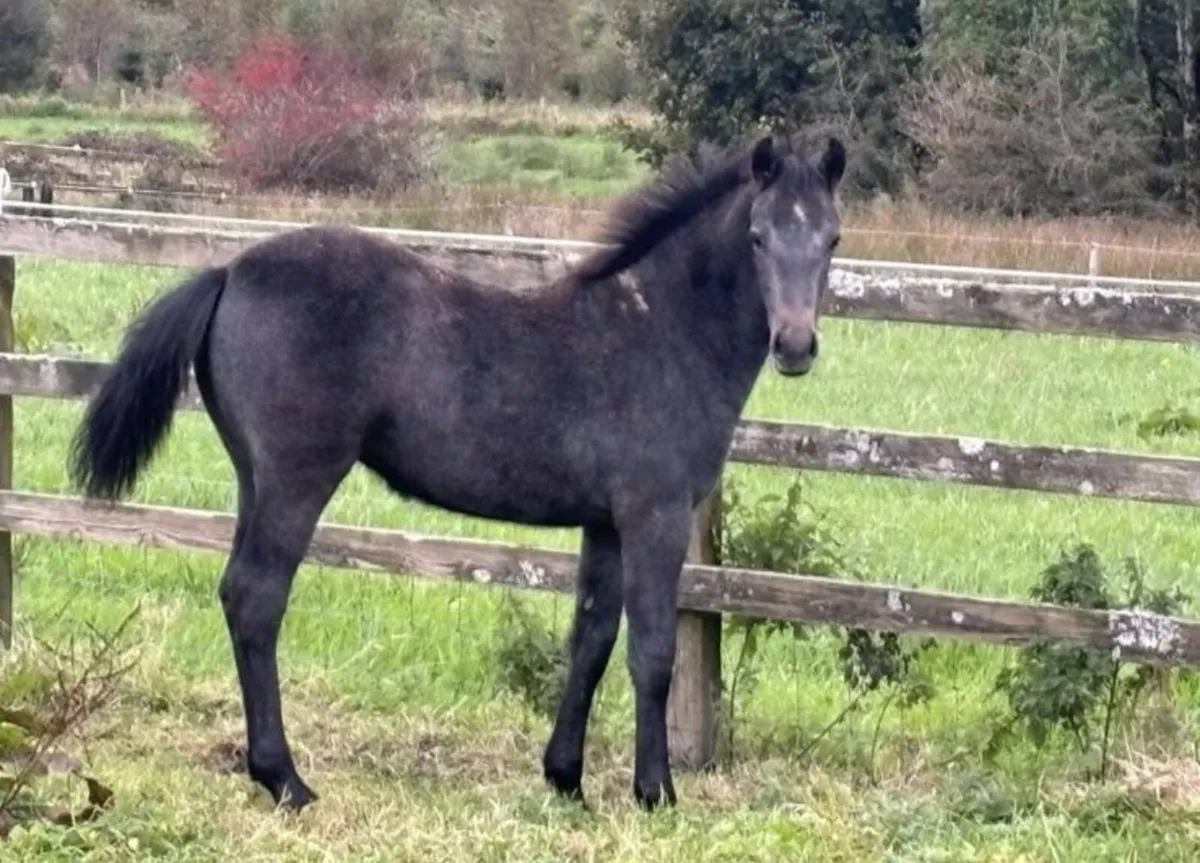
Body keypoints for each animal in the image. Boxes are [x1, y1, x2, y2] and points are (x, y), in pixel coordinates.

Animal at [69, 132, 846, 812]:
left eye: (833, 238)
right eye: (757, 236)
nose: (795, 345)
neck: (659, 329)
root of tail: (229, 272)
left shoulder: (605, 523)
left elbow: (591, 639)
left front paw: (566, 779)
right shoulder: (654, 515)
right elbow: (652, 652)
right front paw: (656, 793)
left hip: (253, 479)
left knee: (237, 594)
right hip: (298, 479)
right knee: (257, 599)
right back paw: (286, 781)